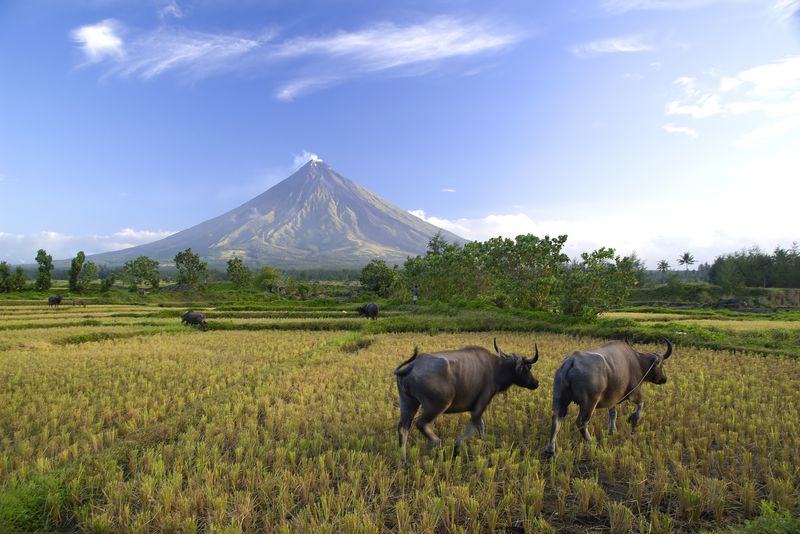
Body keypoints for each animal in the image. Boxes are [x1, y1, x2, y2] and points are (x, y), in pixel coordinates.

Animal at [396, 342, 540, 462]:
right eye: (529, 367)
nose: (536, 383)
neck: (496, 369)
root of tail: (412, 366)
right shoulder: (480, 406)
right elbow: (474, 426)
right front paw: (456, 448)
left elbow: (481, 427)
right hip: (437, 405)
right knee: (421, 424)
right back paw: (438, 444)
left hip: (408, 403)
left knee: (403, 429)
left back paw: (404, 461)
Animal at [544, 340, 676, 456]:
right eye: (661, 364)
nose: (664, 379)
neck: (637, 362)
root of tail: (571, 361)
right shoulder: (634, 393)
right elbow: (640, 406)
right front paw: (633, 420)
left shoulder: (612, 399)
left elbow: (613, 413)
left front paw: (612, 430)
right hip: (589, 402)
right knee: (581, 422)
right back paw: (591, 442)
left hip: (559, 398)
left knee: (556, 419)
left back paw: (550, 449)